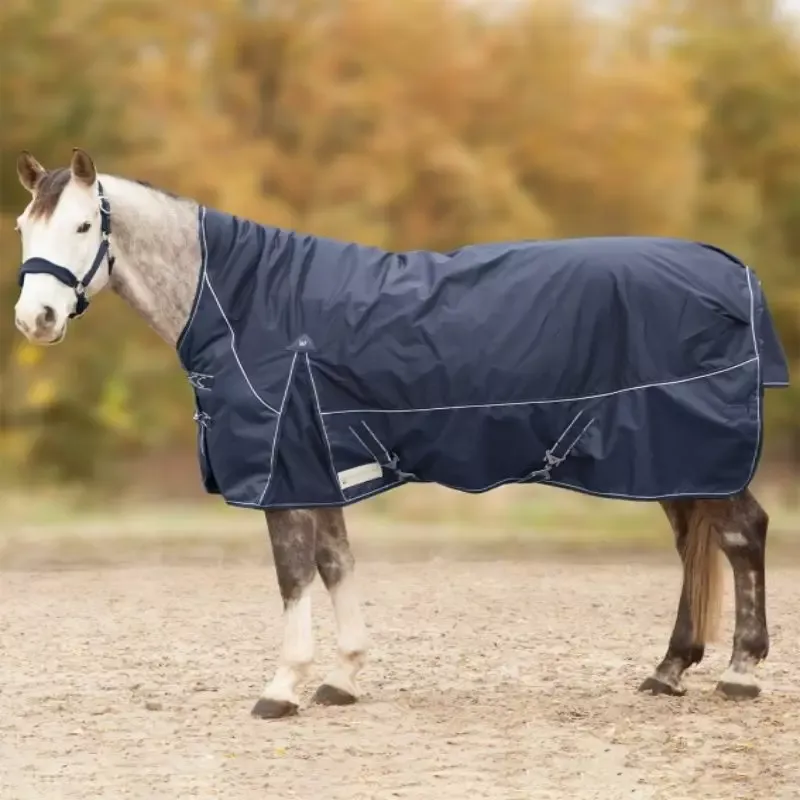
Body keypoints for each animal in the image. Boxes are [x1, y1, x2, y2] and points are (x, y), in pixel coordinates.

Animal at [12, 148, 789, 718]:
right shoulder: (322, 462)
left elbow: (294, 573)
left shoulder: (284, 466)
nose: (35, 320)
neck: (249, 304)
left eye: (82, 228)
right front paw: (344, 678)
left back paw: (741, 673)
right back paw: (670, 669)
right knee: (695, 546)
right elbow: (336, 563)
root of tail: (733, 271)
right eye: (24, 227)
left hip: (692, 447)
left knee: (741, 534)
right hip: (674, 457)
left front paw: (282, 689)